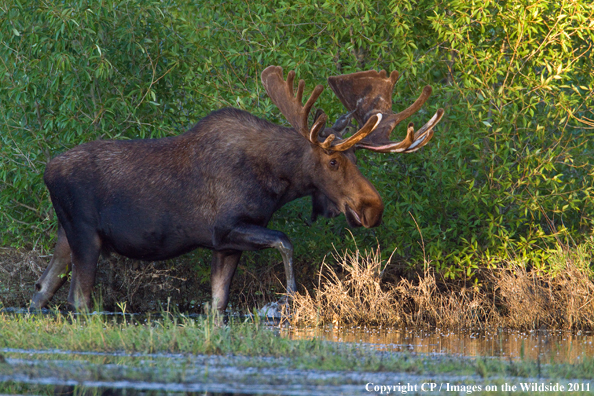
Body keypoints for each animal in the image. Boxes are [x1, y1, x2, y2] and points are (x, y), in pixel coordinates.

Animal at [30, 65, 442, 312]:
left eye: (356, 157)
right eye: (333, 162)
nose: (374, 207)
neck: (277, 183)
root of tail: (48, 170)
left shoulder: (226, 245)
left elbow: (218, 305)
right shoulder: (226, 227)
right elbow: (285, 241)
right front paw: (287, 299)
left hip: (66, 234)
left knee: (42, 289)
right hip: (86, 235)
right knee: (78, 298)